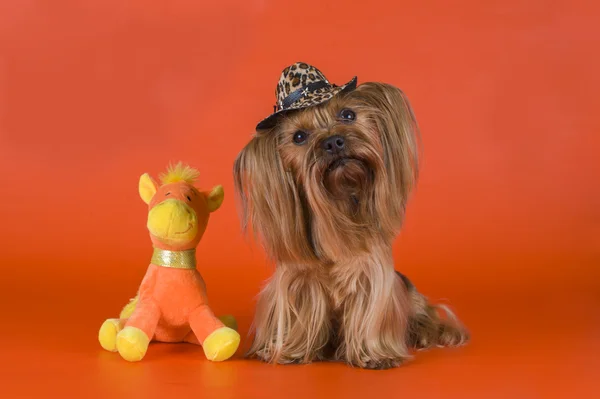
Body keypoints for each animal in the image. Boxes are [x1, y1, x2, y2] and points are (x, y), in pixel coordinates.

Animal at [234, 62, 468, 372]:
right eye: (299, 137)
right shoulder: (299, 278)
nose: (334, 142)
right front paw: (290, 351)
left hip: (411, 296)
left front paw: (375, 354)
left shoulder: (372, 273)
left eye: (348, 114)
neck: (339, 203)